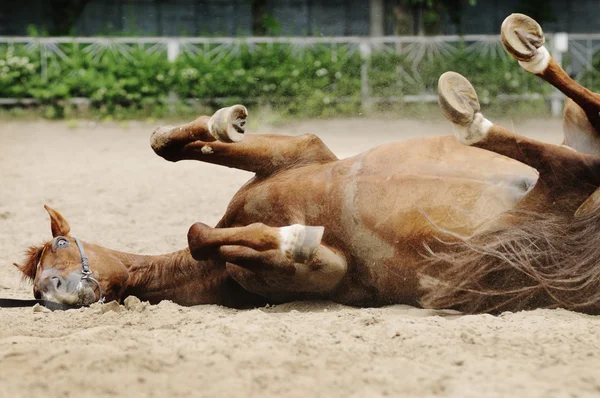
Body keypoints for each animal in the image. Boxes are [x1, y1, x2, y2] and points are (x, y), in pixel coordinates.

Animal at [14, 14, 600, 314]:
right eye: (36, 285)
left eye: (60, 244)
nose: (53, 294)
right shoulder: (328, 270)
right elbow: (202, 234)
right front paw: (292, 237)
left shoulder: (303, 152)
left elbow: (170, 149)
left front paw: (223, 122)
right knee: (575, 166)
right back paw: (477, 97)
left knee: (579, 140)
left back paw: (514, 57)